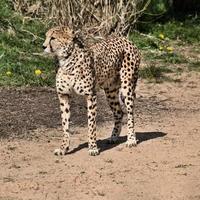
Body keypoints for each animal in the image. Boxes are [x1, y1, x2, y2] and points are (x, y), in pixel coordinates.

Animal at [43, 25, 141, 155]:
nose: (43, 46)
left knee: (130, 114)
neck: (66, 60)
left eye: (53, 38)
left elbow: (91, 124)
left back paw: (131, 140)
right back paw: (114, 137)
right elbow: (65, 124)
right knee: (119, 112)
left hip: (127, 87)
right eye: (46, 36)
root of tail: (126, 40)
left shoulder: (90, 95)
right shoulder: (63, 95)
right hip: (110, 91)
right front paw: (63, 148)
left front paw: (93, 147)